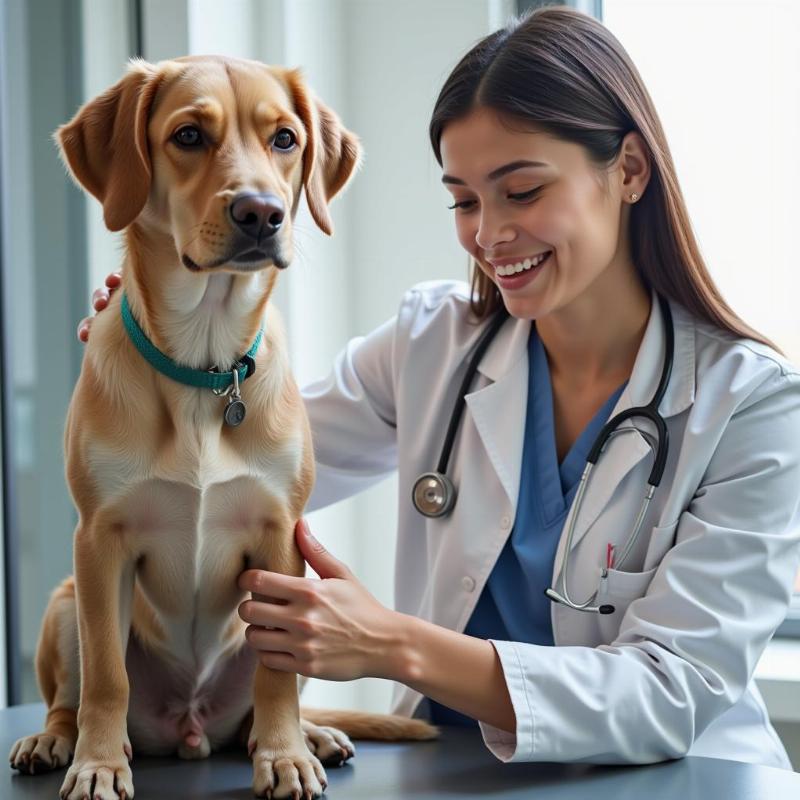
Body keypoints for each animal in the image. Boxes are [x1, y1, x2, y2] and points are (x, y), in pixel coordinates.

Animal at [6, 56, 434, 800]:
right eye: (188, 135)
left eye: (285, 138)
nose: (259, 212)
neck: (204, 369)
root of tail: (190, 726)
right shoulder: (99, 541)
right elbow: (106, 677)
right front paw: (98, 763)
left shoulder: (280, 539)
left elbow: (277, 678)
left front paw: (286, 755)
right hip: (65, 601)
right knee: (69, 696)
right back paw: (55, 741)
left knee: (263, 703)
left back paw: (307, 735)